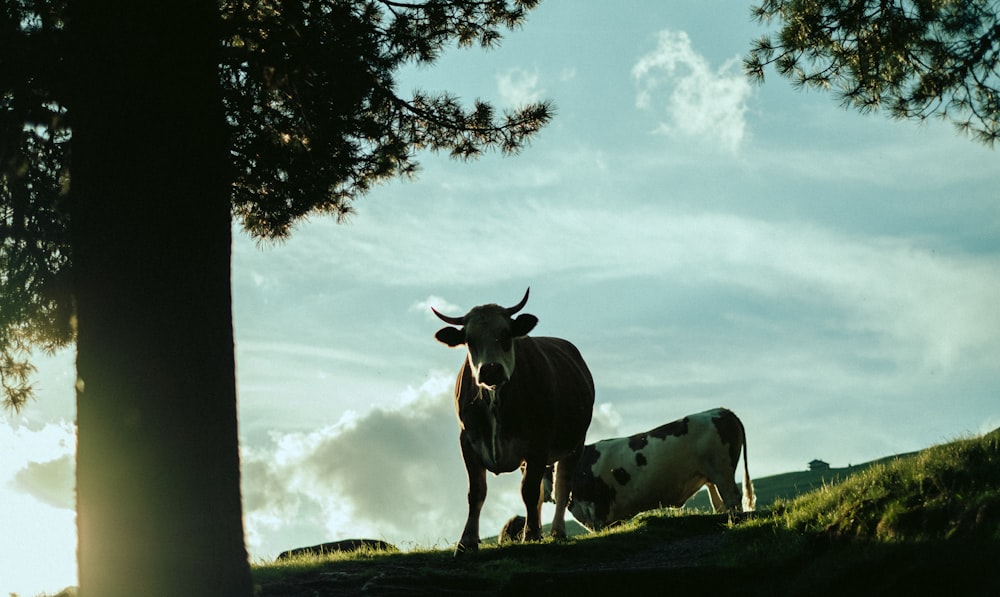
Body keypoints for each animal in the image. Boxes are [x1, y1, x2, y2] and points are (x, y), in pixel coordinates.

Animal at [432, 288, 592, 556]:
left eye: (506, 334)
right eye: (469, 340)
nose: (490, 369)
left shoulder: (539, 441)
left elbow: (529, 491)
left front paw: (533, 534)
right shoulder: (468, 442)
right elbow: (476, 493)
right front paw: (467, 541)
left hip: (575, 443)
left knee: (561, 486)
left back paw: (556, 531)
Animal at [552, 406, 752, 532]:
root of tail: (721, 410)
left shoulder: (598, 508)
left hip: (722, 470)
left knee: (732, 498)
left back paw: (735, 523)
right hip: (712, 475)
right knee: (720, 503)